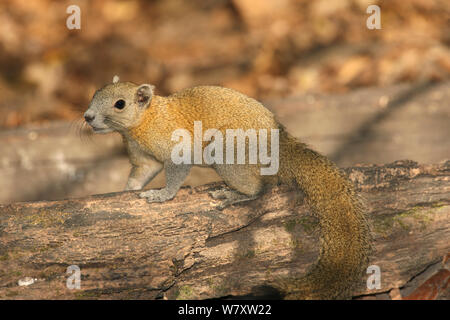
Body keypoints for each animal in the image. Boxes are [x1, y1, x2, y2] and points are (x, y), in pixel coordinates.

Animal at [85, 75, 372, 300]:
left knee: (259, 188)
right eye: (95, 94)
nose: (87, 117)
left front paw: (164, 195)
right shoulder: (144, 157)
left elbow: (176, 171)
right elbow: (142, 172)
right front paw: (128, 189)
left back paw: (235, 195)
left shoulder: (176, 146)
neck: (146, 120)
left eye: (119, 104)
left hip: (227, 150)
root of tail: (279, 145)